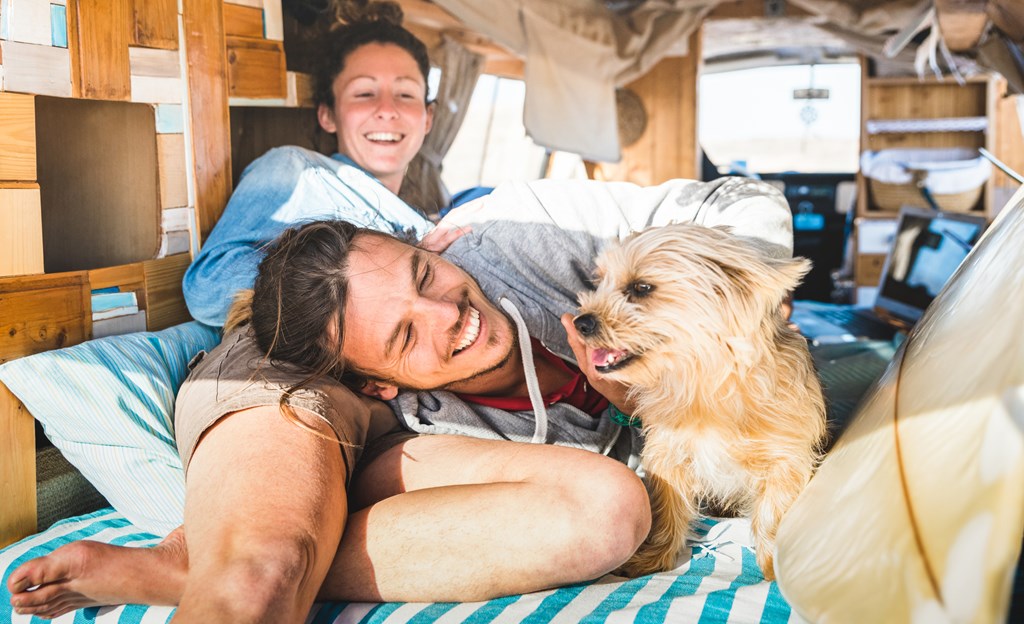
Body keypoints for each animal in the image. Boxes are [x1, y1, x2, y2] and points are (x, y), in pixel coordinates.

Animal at [577, 223, 823, 577]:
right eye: (599, 282)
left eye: (641, 288)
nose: (580, 322)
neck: (706, 381)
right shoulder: (668, 453)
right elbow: (669, 506)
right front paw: (654, 557)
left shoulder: (785, 457)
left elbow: (772, 514)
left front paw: (774, 566)